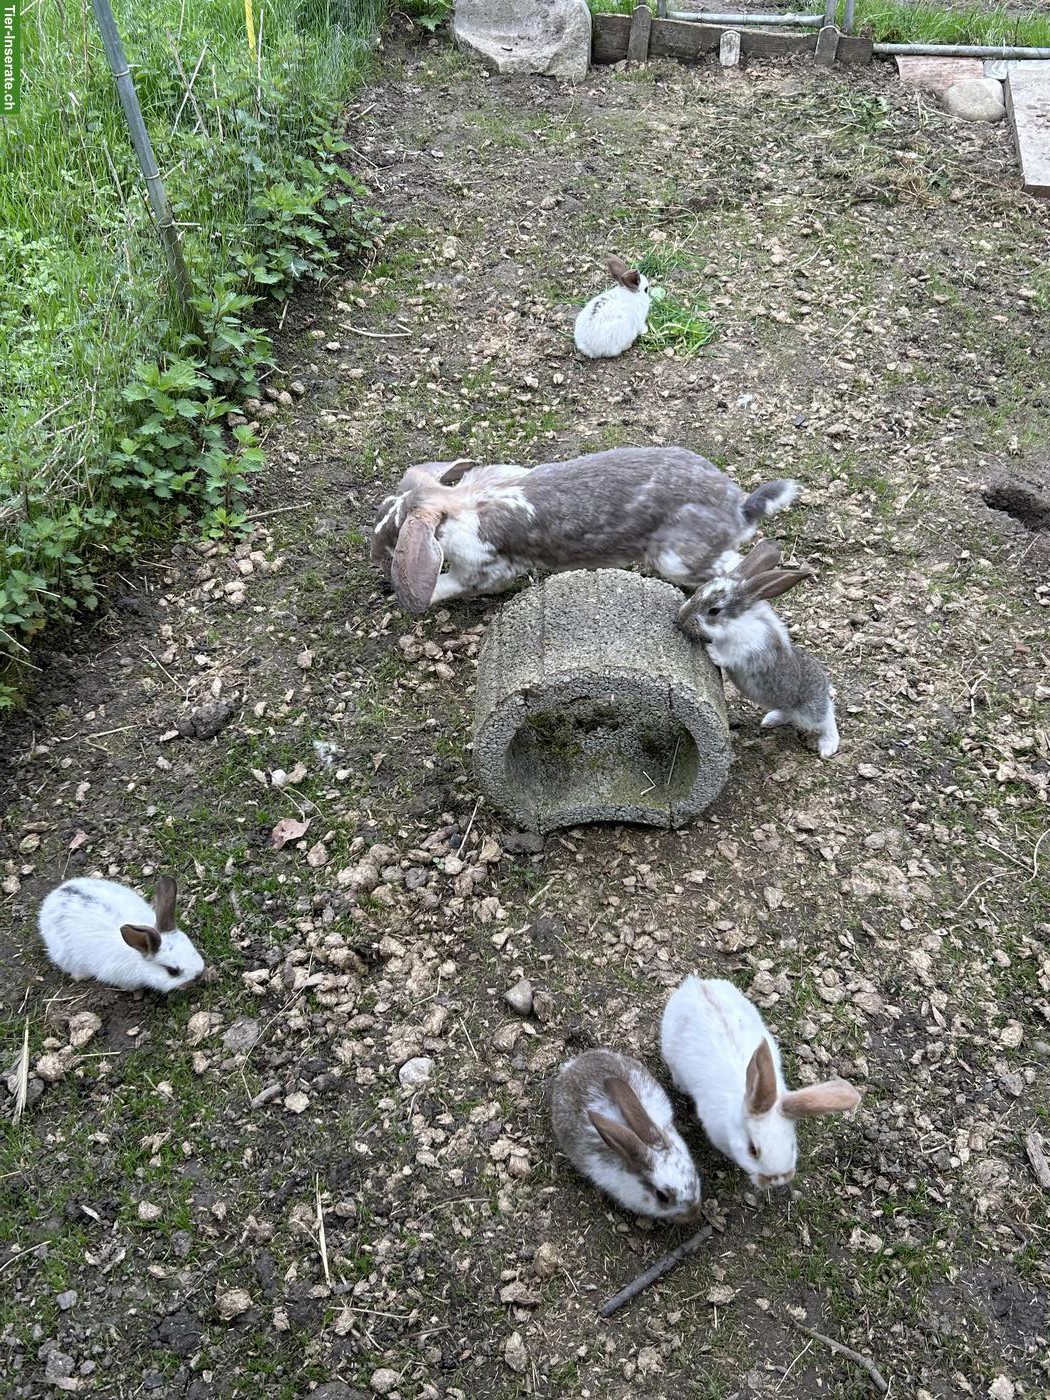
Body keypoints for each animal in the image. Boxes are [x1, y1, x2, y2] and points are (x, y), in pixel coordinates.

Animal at [370, 446, 798, 614]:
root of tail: (739, 509)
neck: (460, 504)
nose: (375, 554)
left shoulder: (483, 569)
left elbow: (447, 586)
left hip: (676, 559)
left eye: (395, 536)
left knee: (735, 566)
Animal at [677, 538, 839, 757]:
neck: (736, 623)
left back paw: (828, 746)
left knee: (826, 718)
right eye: (698, 590)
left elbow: (731, 656)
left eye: (714, 610)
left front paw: (713, 652)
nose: (682, 616)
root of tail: (824, 684)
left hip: (809, 710)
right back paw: (770, 720)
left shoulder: (751, 650)